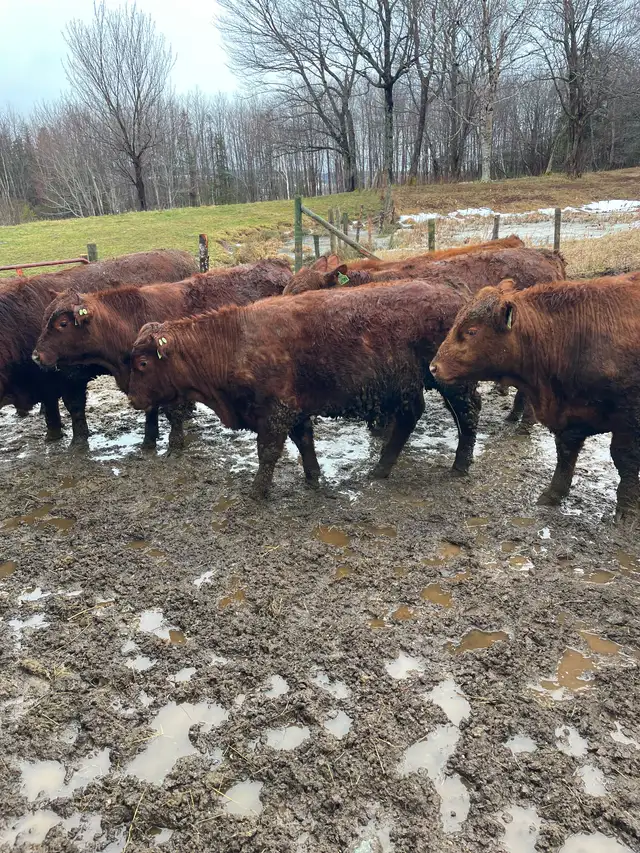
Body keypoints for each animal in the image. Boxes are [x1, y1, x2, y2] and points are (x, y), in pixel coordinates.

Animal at [0, 250, 198, 444]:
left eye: (62, 323)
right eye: (44, 321)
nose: (36, 356)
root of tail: (186, 257)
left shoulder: (69, 378)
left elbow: (73, 407)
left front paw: (77, 440)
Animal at [33, 258, 292, 450]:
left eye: (63, 323)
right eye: (44, 318)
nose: (36, 356)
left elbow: (171, 411)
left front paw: (173, 444)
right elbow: (151, 408)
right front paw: (149, 441)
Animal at [127, 281, 480, 498]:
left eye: (143, 363)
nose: (132, 397)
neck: (235, 340)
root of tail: (456, 298)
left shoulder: (275, 412)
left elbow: (268, 452)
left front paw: (257, 492)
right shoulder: (295, 410)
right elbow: (304, 443)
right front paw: (313, 478)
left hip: (451, 383)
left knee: (468, 413)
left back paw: (460, 465)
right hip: (406, 387)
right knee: (411, 417)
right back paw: (381, 469)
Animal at [429, 274, 640, 521]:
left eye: (471, 331)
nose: (434, 367)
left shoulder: (628, 421)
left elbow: (625, 461)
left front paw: (626, 512)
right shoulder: (570, 416)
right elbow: (565, 453)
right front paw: (553, 494)